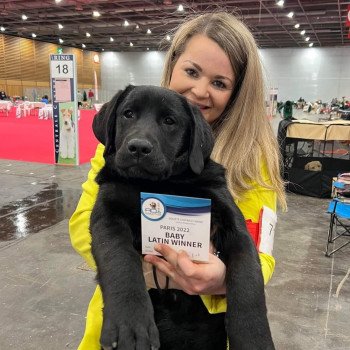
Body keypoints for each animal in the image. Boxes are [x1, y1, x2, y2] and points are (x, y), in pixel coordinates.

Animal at [89, 85, 274, 350]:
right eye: (128, 114)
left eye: (169, 121)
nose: (138, 147)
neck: (164, 183)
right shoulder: (107, 214)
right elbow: (119, 261)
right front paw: (131, 325)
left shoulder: (234, 227)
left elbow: (248, 278)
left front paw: (254, 338)